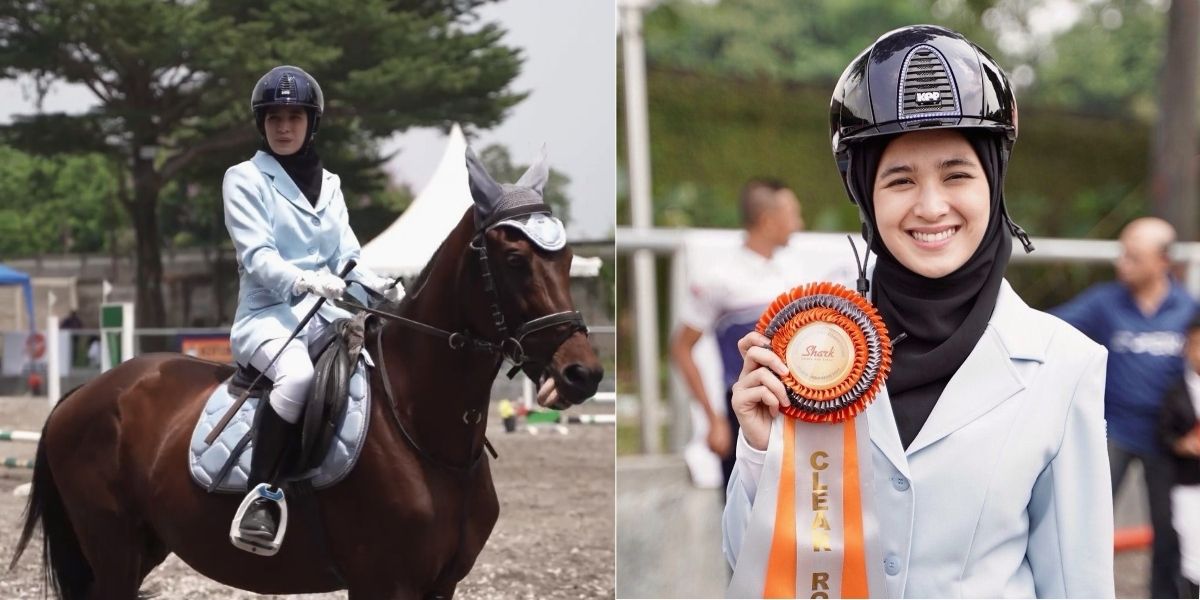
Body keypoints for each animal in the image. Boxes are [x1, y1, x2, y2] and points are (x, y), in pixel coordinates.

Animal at [11, 152, 600, 597]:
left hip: (143, 546)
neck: (423, 432)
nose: (582, 374)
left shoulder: (442, 585)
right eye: (515, 260)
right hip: (112, 546)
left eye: (569, 258)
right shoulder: (383, 584)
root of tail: (84, 393)